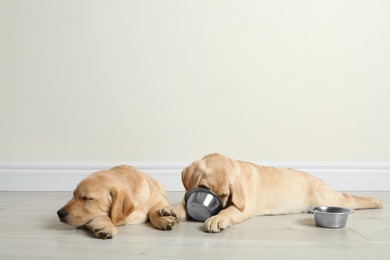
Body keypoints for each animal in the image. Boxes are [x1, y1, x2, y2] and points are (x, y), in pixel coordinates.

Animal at [163, 153, 382, 233]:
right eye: (205, 189)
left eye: (224, 195)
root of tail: (319, 180)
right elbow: (183, 204)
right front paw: (171, 211)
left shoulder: (243, 207)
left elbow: (228, 211)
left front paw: (216, 219)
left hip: (327, 197)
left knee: (348, 197)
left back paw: (377, 200)